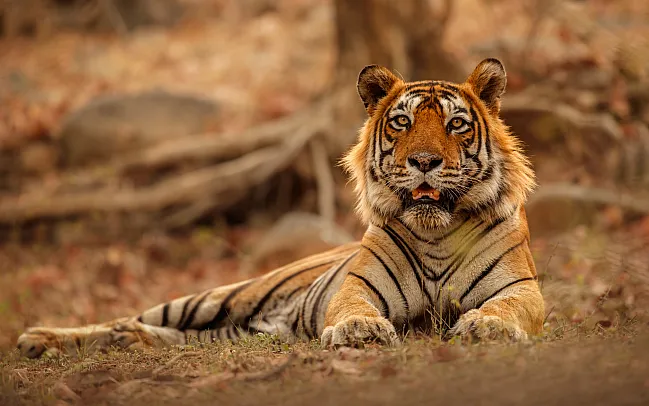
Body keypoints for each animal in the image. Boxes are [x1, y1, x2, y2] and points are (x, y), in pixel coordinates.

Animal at [17, 58, 544, 358]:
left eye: (456, 124)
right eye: (401, 122)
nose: (424, 161)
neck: (436, 232)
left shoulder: (523, 290)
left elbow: (507, 306)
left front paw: (488, 327)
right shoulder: (357, 286)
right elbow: (353, 306)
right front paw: (359, 331)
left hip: (236, 330)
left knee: (169, 335)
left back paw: (124, 342)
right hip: (218, 296)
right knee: (129, 316)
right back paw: (41, 339)